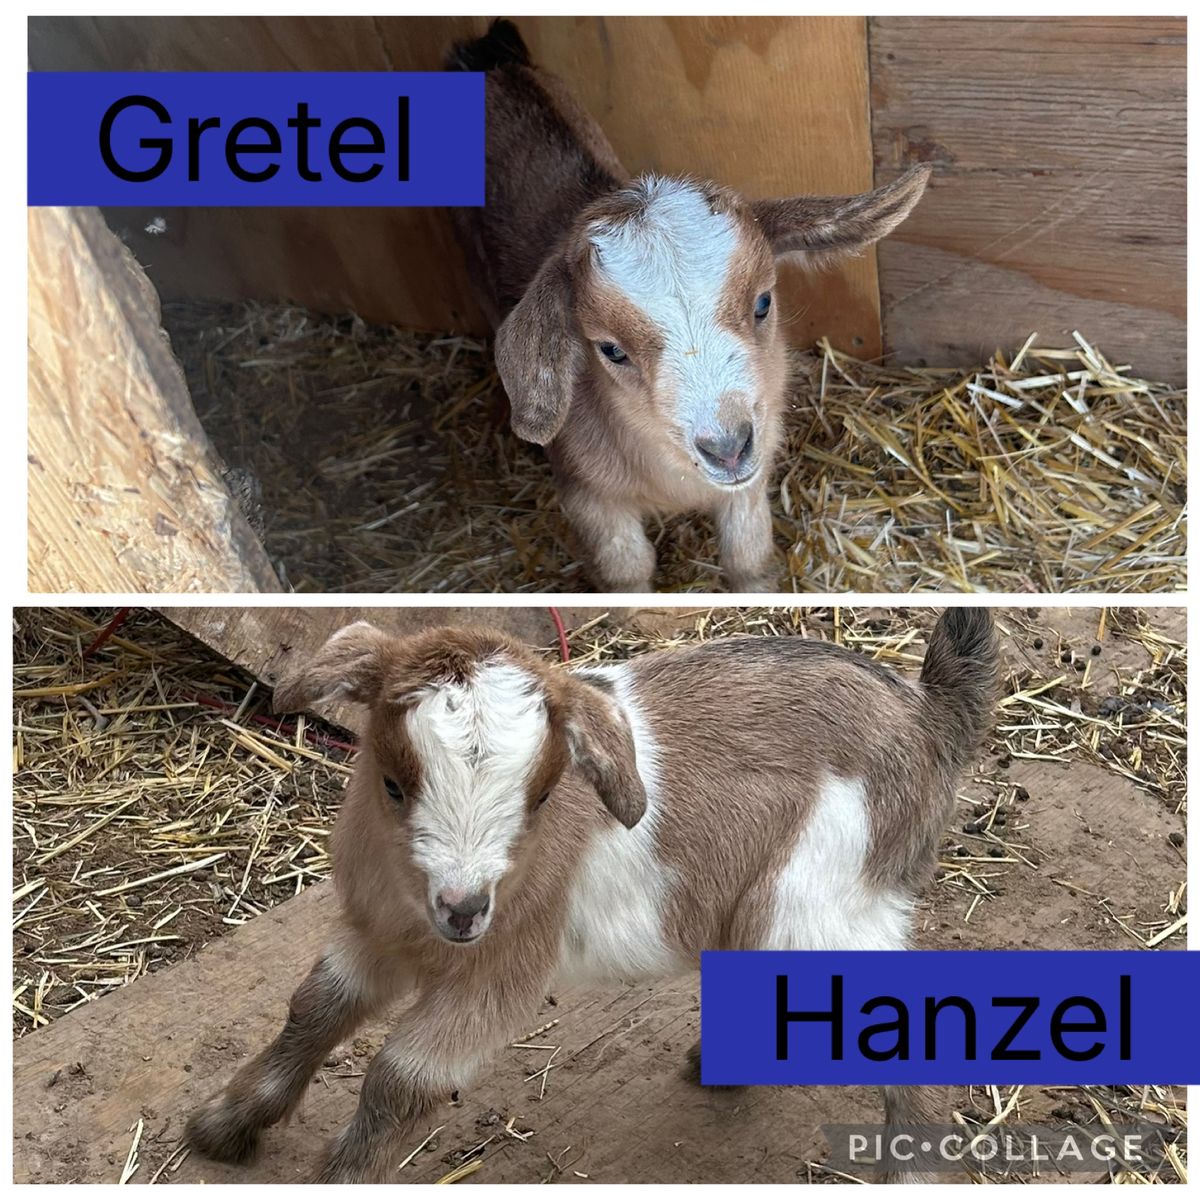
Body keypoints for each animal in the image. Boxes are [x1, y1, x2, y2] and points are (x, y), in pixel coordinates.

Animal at [185, 608, 997, 1183]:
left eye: (542, 796)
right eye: (391, 783)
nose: (463, 909)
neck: (422, 920)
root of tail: (927, 715)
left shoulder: (504, 966)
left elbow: (401, 1080)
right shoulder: (372, 932)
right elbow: (313, 1010)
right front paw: (222, 1126)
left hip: (825, 904)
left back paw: (917, 1174)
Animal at [445, 20, 930, 592]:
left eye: (763, 302)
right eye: (610, 349)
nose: (727, 447)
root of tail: (490, 59)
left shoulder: (751, 477)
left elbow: (747, 556)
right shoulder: (589, 496)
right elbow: (627, 576)